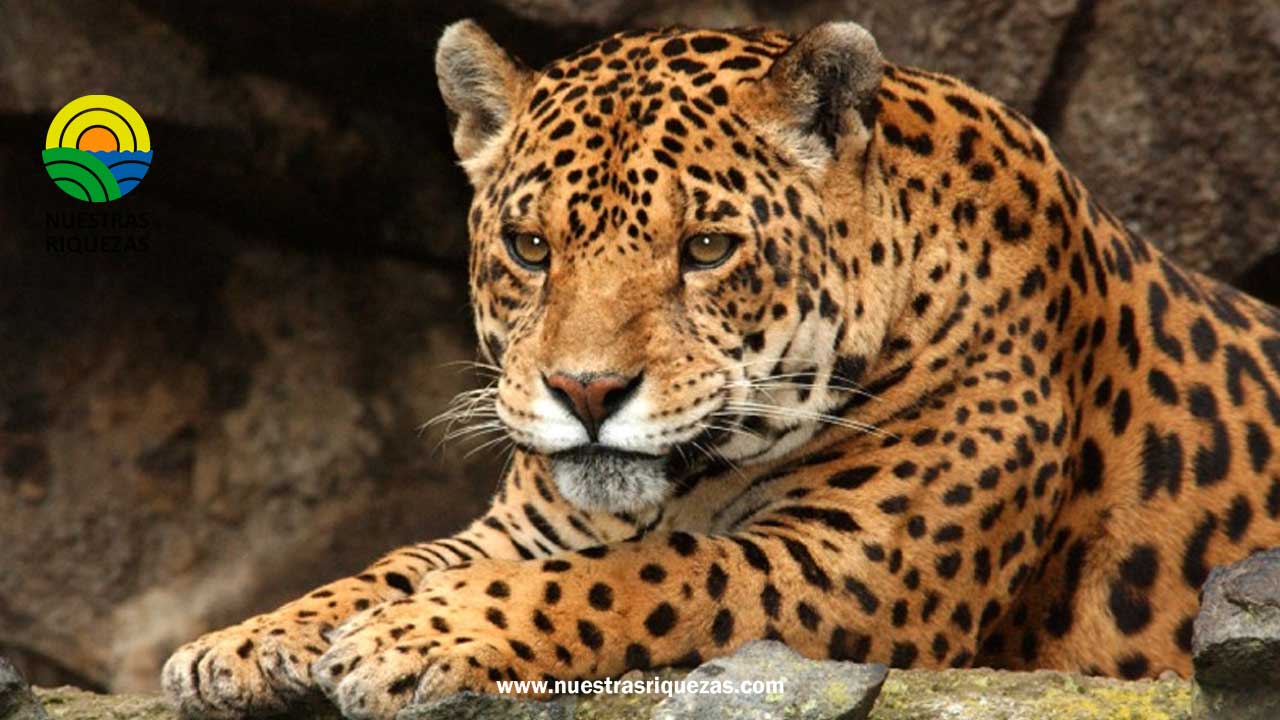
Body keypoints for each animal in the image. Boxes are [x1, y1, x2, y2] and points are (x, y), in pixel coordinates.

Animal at [163, 18, 1280, 720]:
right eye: (529, 247)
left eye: (704, 249)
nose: (585, 394)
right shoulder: (521, 527)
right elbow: (396, 563)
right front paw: (246, 642)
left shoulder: (850, 570)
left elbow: (640, 576)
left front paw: (413, 639)